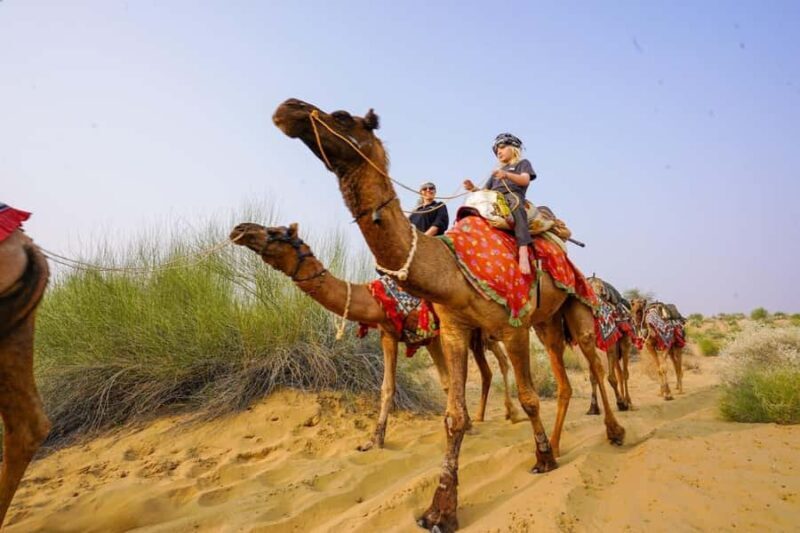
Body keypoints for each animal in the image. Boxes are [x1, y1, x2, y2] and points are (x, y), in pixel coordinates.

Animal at [229, 222, 524, 451]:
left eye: (276, 232)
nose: (240, 229)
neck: (377, 300)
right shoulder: (391, 334)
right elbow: (390, 387)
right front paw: (374, 440)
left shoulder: (431, 334)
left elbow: (447, 382)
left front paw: (464, 425)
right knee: (488, 369)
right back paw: (488, 415)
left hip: (481, 330)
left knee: (500, 362)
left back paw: (511, 413)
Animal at [272, 98, 625, 532]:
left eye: (340, 117)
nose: (288, 108)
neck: (451, 267)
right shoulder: (454, 329)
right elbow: (450, 413)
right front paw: (440, 509)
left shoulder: (511, 326)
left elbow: (529, 397)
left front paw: (541, 460)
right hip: (545, 322)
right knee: (562, 378)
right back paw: (558, 444)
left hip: (575, 304)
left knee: (594, 362)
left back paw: (612, 431)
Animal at [586, 276, 635, 413]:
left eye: (601, 291)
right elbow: (593, 377)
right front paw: (593, 408)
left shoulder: (610, 346)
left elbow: (611, 378)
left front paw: (621, 403)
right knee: (620, 372)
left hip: (625, 343)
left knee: (625, 373)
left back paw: (628, 402)